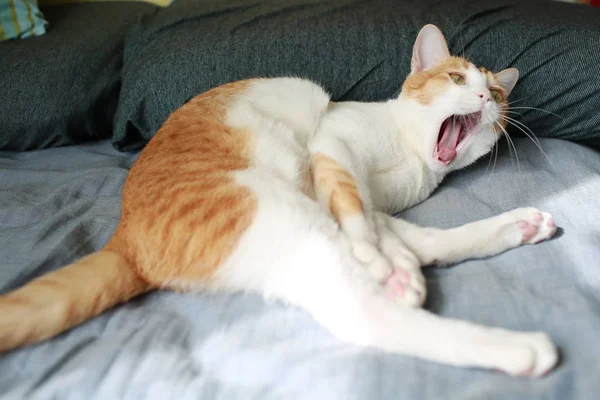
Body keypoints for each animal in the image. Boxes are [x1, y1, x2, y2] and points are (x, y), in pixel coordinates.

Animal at [0, 25, 556, 378]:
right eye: (458, 79)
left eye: (497, 95)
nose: (483, 98)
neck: (415, 159)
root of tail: (125, 238)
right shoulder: (332, 146)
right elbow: (357, 211)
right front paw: (382, 259)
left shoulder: (363, 194)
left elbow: (372, 218)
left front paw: (394, 262)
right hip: (280, 212)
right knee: (366, 312)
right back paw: (518, 345)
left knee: (426, 246)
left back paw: (516, 229)